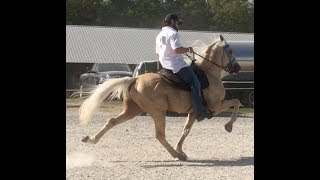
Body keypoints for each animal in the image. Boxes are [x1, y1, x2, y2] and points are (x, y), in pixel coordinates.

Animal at [79, 34, 241, 161]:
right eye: (230, 51)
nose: (238, 68)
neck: (209, 74)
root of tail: (135, 79)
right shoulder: (216, 106)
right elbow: (236, 102)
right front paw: (229, 126)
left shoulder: (193, 113)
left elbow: (186, 130)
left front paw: (180, 148)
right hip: (158, 112)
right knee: (160, 135)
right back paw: (176, 155)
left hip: (133, 110)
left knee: (111, 121)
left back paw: (90, 139)